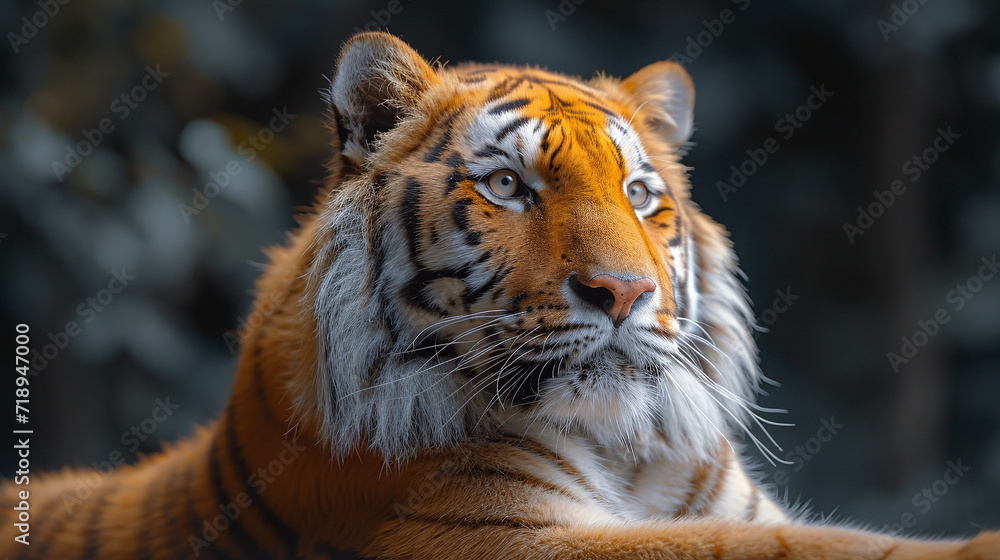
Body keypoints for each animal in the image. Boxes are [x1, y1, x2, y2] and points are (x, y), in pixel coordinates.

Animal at [2, 30, 997, 560]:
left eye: (641, 195)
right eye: (509, 187)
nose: (623, 291)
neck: (628, 453)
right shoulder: (502, 535)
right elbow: (803, 548)